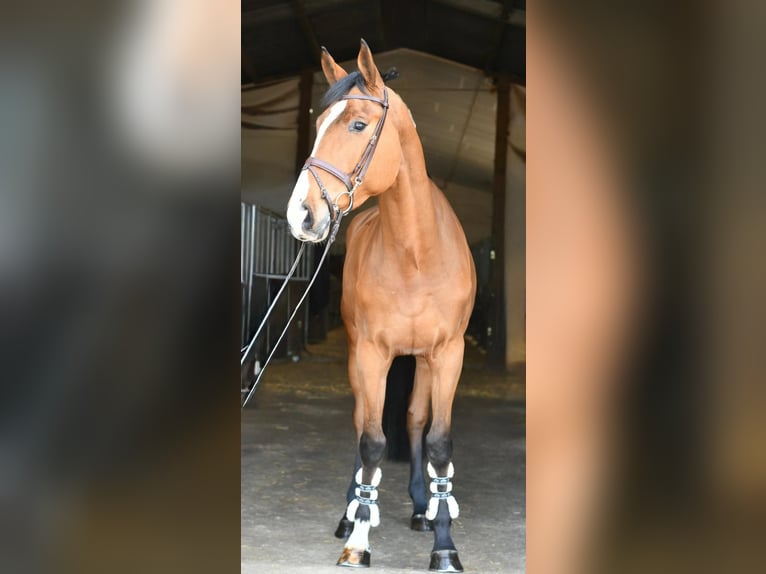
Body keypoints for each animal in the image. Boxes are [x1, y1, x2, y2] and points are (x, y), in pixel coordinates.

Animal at [286, 40, 476, 572]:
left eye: (357, 125)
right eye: (317, 123)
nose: (300, 214)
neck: (416, 256)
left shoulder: (447, 355)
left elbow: (437, 442)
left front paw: (444, 545)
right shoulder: (371, 353)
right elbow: (371, 442)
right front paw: (358, 538)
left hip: (424, 363)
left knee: (413, 421)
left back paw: (422, 507)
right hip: (361, 357)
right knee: (361, 424)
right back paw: (352, 512)